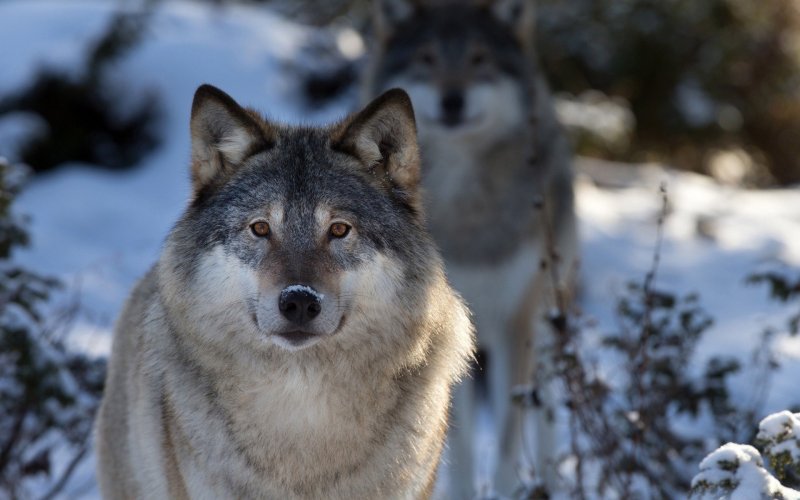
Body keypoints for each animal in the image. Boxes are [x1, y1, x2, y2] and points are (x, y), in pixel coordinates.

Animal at [362, 0, 579, 496]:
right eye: (426, 58)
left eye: (480, 59)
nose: (453, 100)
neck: (467, 210)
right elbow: (454, 442)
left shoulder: (516, 322)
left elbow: (507, 437)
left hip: (547, 320)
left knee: (546, 413)